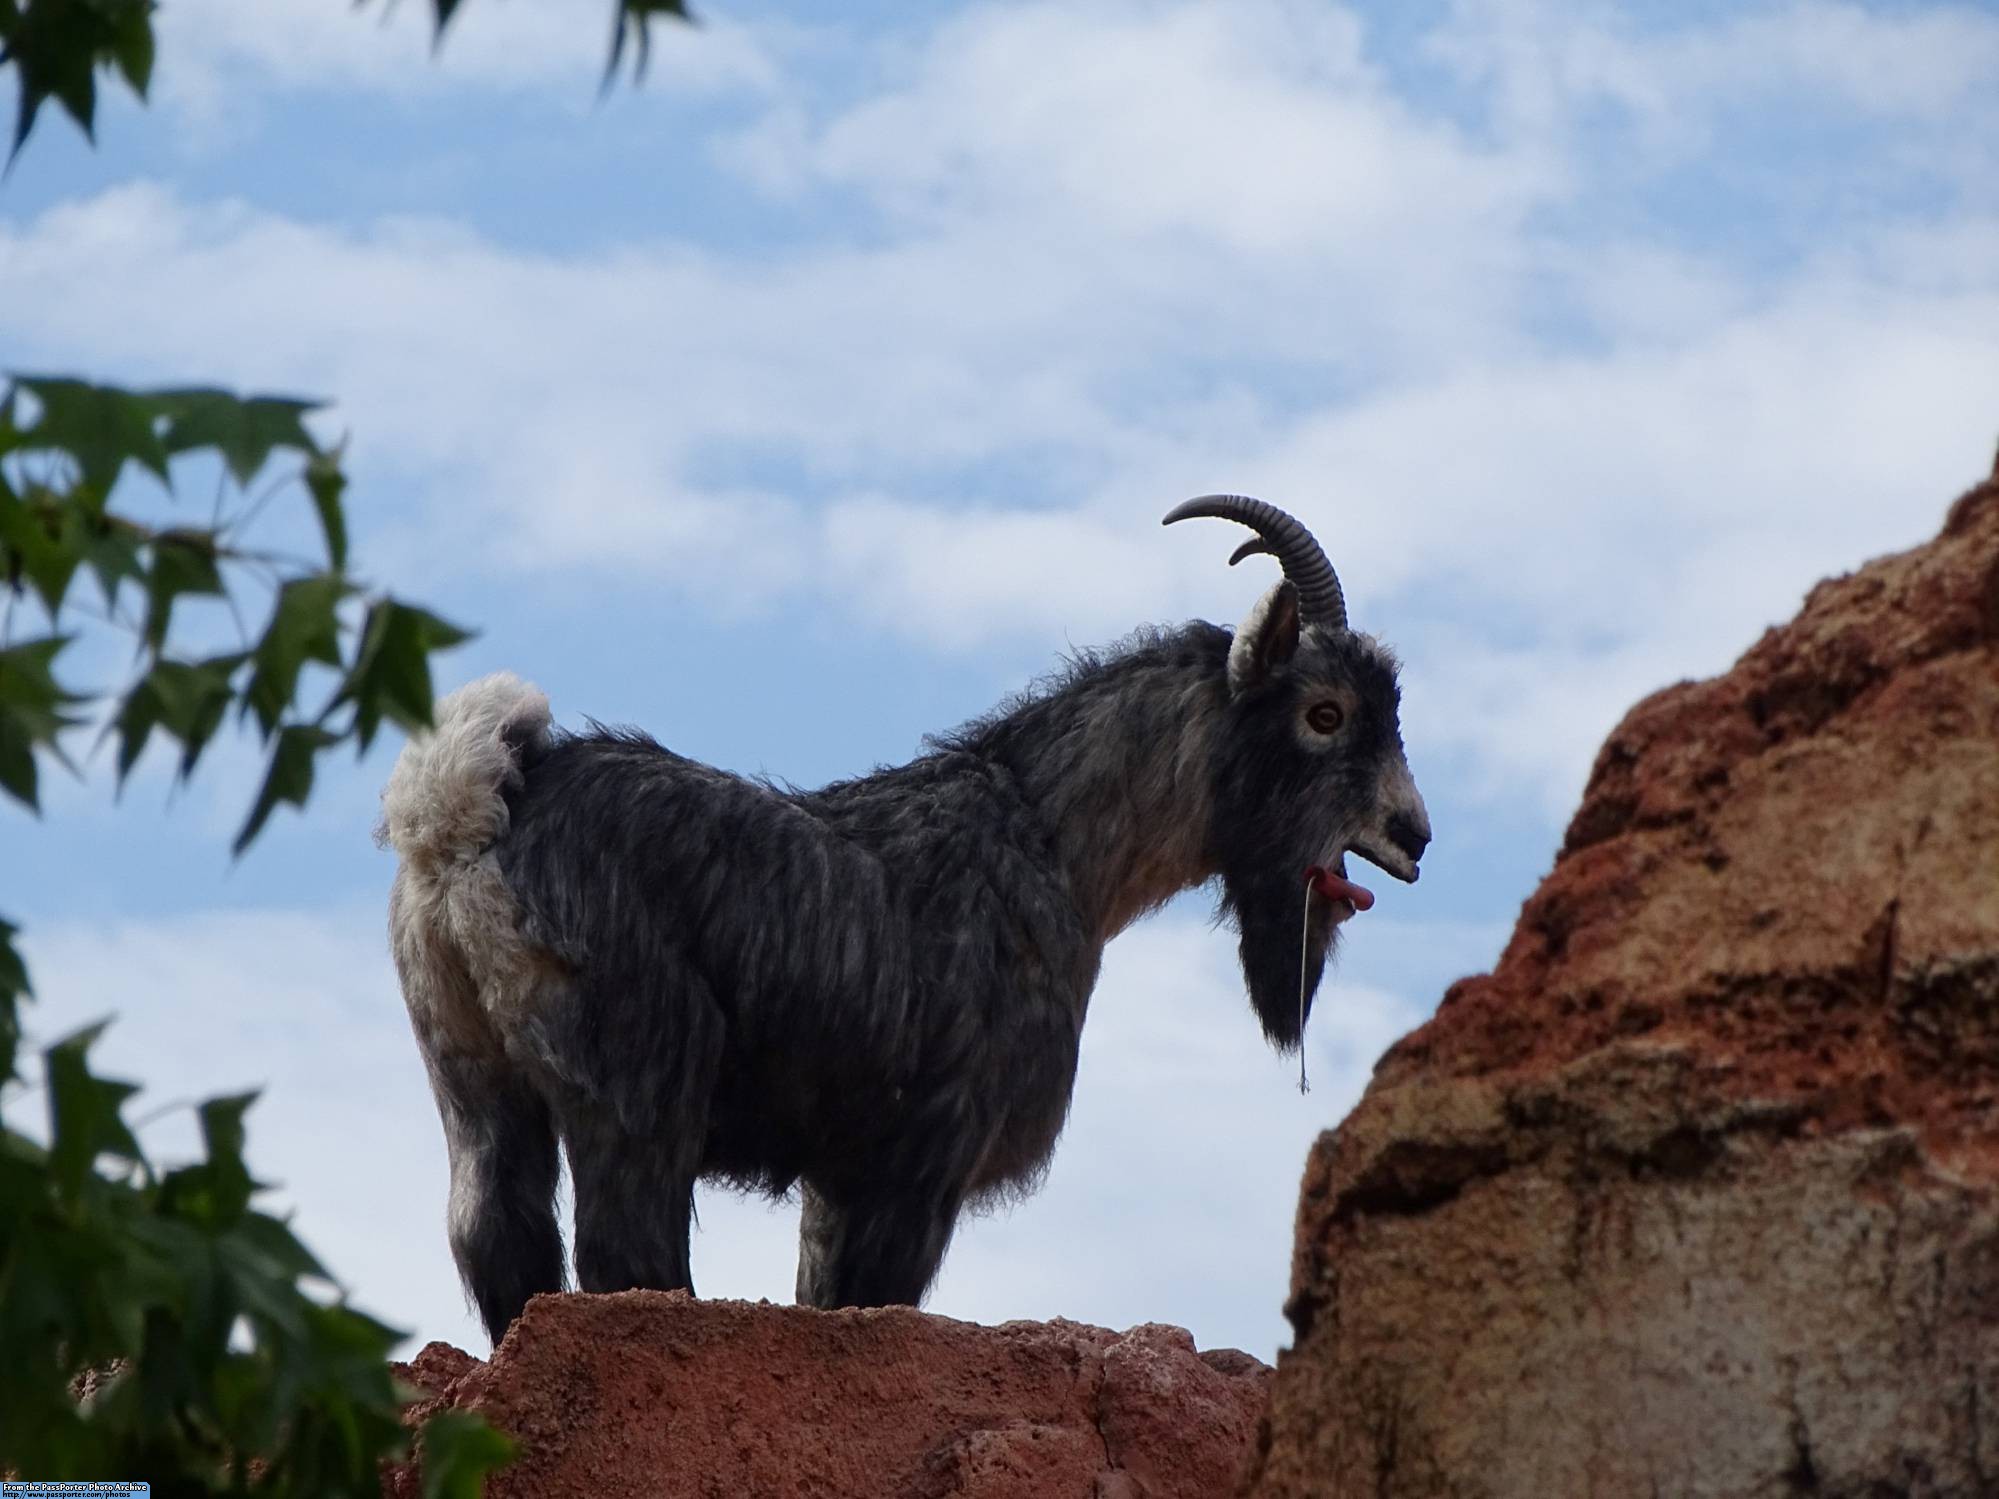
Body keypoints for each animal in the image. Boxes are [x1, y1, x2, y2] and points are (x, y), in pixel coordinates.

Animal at [377, 499, 1439, 1343]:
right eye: (1325, 713)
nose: (1413, 834)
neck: (1052, 840)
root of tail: (466, 812)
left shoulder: (838, 1178)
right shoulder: (923, 1153)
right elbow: (875, 1294)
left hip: (470, 1076)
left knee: (496, 1234)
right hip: (639, 1080)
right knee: (625, 1251)